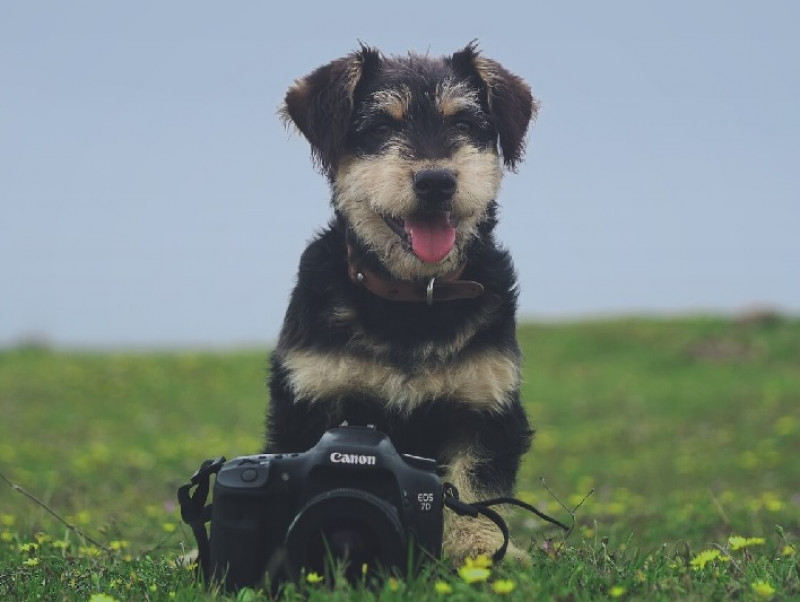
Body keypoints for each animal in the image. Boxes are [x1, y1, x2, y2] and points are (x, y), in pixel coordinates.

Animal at [268, 43, 536, 564]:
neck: (412, 299)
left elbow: (474, 486)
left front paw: (480, 551)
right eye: (379, 127)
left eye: (465, 123)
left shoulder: (486, 407)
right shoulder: (307, 398)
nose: (436, 181)